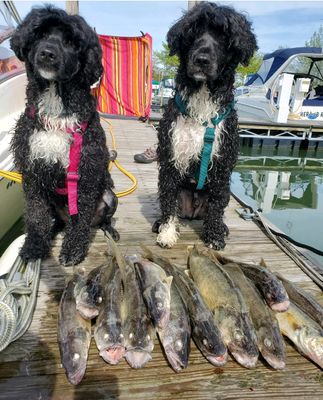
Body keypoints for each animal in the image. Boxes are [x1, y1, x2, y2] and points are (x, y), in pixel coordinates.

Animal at [11, 6, 121, 266]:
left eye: (71, 42)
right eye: (39, 34)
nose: (47, 53)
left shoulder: (85, 174)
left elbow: (79, 219)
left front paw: (73, 251)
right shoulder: (32, 173)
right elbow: (36, 215)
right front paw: (34, 245)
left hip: (110, 197)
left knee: (101, 220)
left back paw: (109, 230)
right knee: (59, 220)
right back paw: (53, 230)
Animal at [154, 1, 258, 248]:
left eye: (224, 36)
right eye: (192, 33)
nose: (202, 59)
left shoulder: (221, 165)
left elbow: (217, 208)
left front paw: (214, 236)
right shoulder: (171, 158)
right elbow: (168, 201)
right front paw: (167, 233)